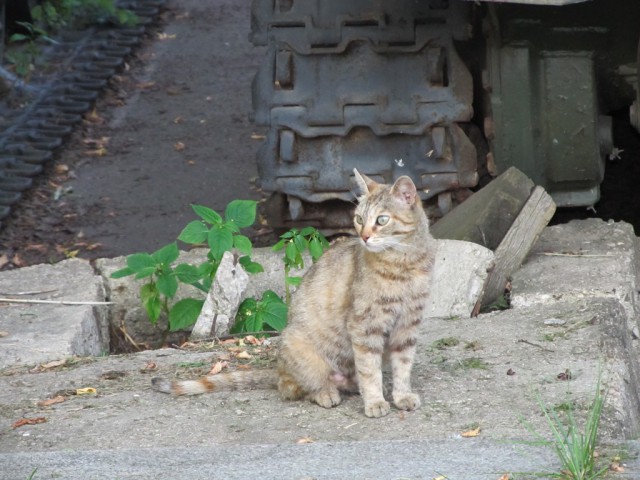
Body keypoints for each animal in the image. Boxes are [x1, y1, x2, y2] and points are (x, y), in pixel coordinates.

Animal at [154, 169, 436, 416]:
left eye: (382, 220)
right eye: (359, 219)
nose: (364, 237)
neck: (404, 264)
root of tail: (278, 370)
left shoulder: (408, 325)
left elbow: (403, 367)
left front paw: (401, 396)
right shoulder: (365, 325)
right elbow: (369, 370)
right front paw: (375, 401)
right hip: (298, 348)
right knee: (292, 387)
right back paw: (325, 392)